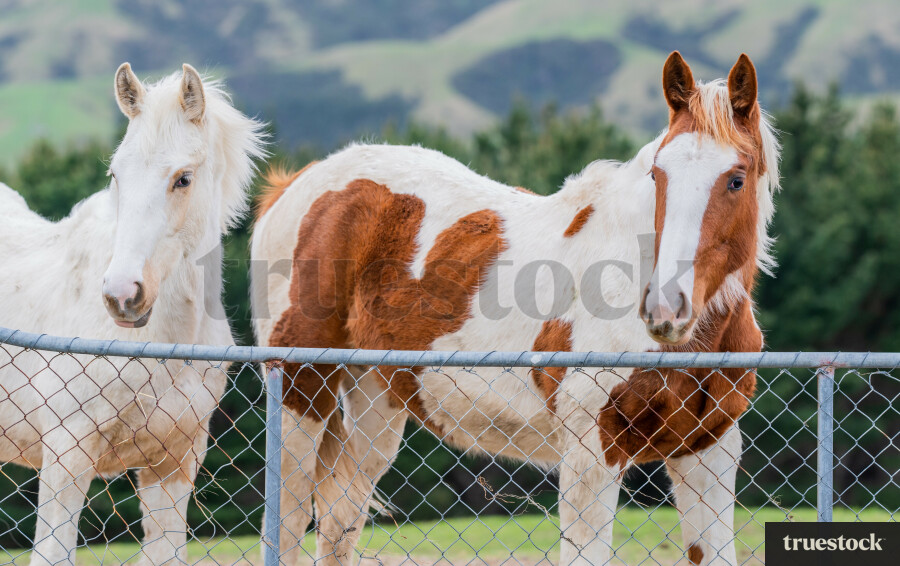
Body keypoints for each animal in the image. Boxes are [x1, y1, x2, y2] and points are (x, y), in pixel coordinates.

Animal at [250, 51, 778, 566]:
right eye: (657, 174)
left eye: (736, 180)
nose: (666, 309)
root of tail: (292, 186)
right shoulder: (592, 451)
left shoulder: (707, 451)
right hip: (300, 391)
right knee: (288, 523)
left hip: (374, 399)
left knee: (339, 520)